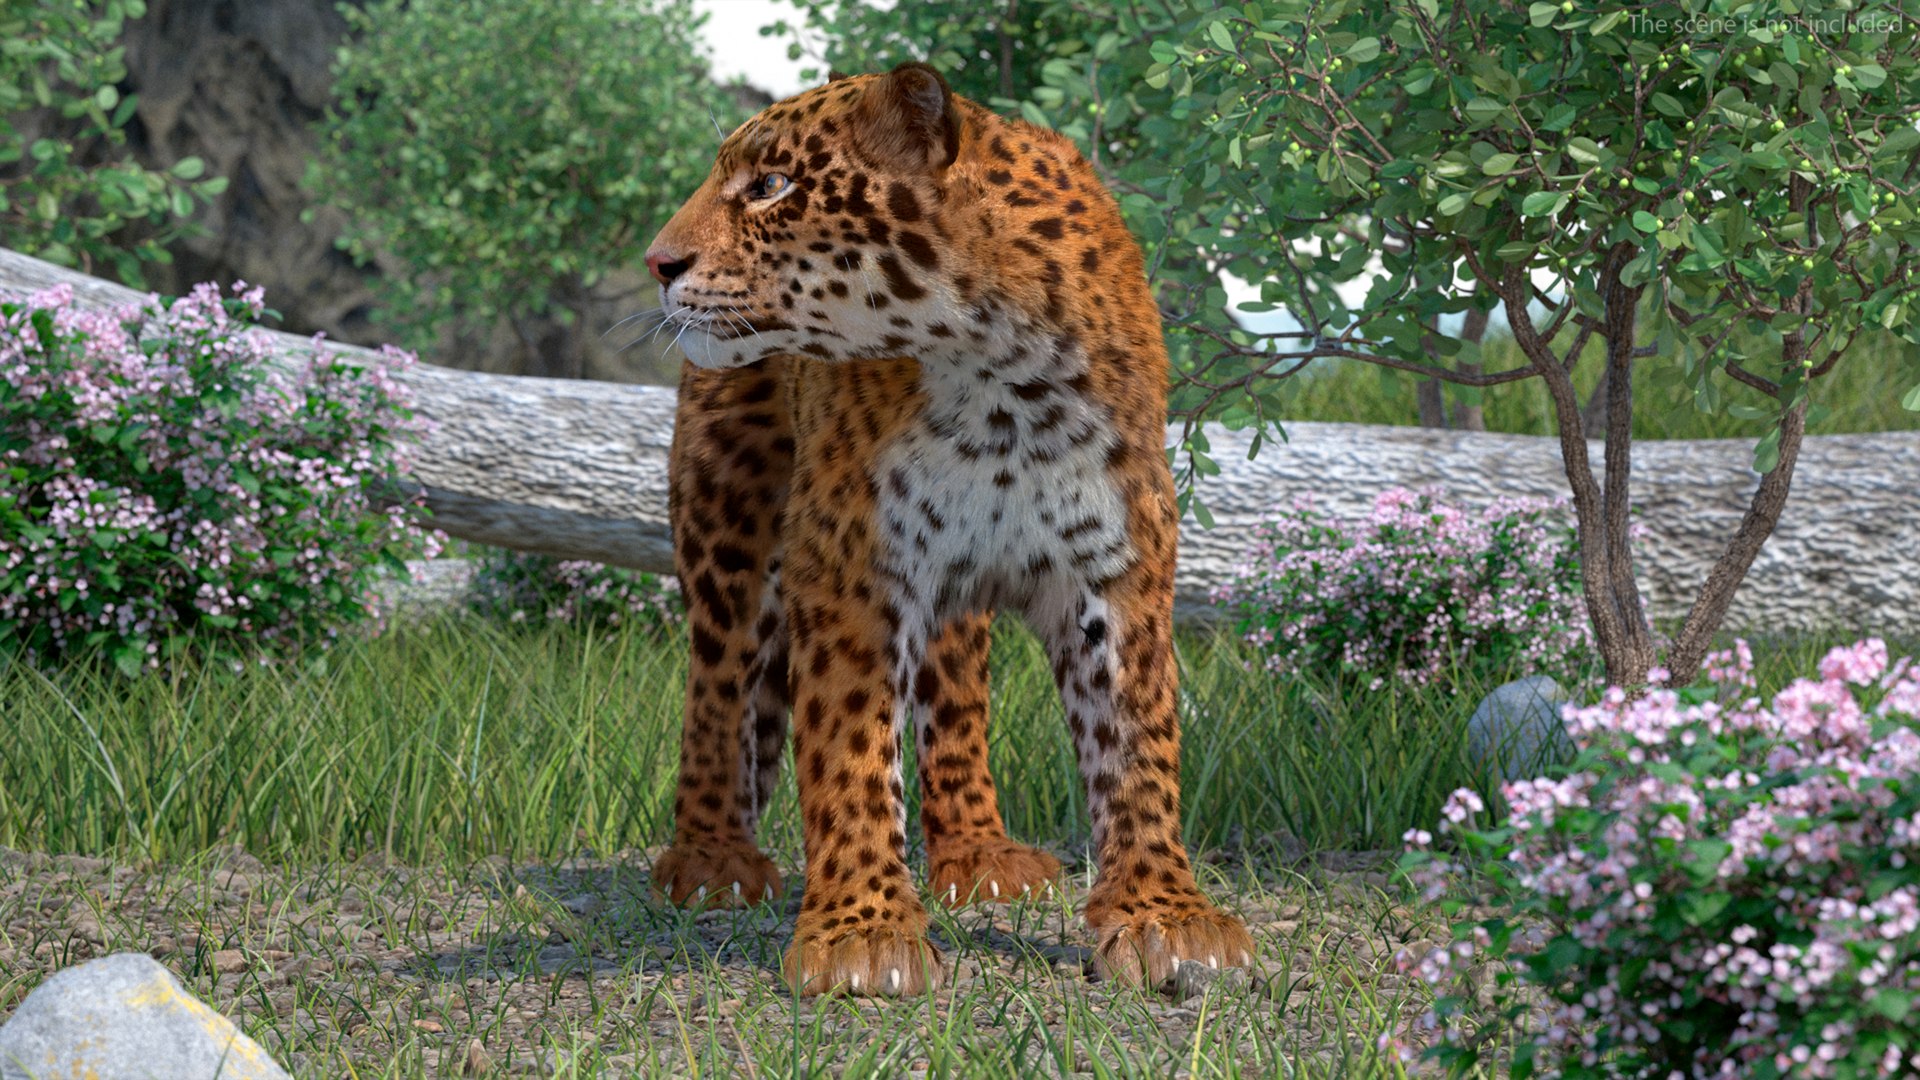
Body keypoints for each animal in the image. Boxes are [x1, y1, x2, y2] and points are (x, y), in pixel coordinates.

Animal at [643, 62, 1253, 997]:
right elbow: (851, 748)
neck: (1005, 384)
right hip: (728, 522)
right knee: (717, 690)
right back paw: (711, 861)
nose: (658, 263)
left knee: (954, 695)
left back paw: (980, 853)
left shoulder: (1117, 564)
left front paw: (1164, 915)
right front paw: (863, 935)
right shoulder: (852, 564)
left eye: (771, 186)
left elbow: (1138, 743)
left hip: (950, 588)